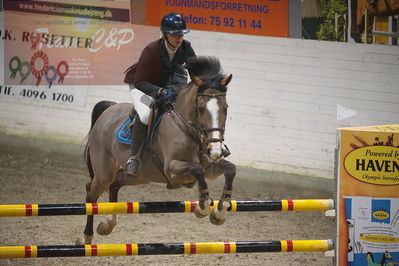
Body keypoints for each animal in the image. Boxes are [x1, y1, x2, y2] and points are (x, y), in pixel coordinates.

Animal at [76, 56, 238, 245]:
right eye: (201, 109)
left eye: (225, 108)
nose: (216, 150)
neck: (188, 129)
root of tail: (108, 110)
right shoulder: (172, 170)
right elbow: (197, 169)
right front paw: (203, 206)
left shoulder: (210, 168)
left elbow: (230, 169)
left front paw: (220, 211)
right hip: (105, 173)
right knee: (91, 194)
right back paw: (86, 236)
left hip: (138, 176)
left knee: (114, 186)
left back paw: (107, 225)